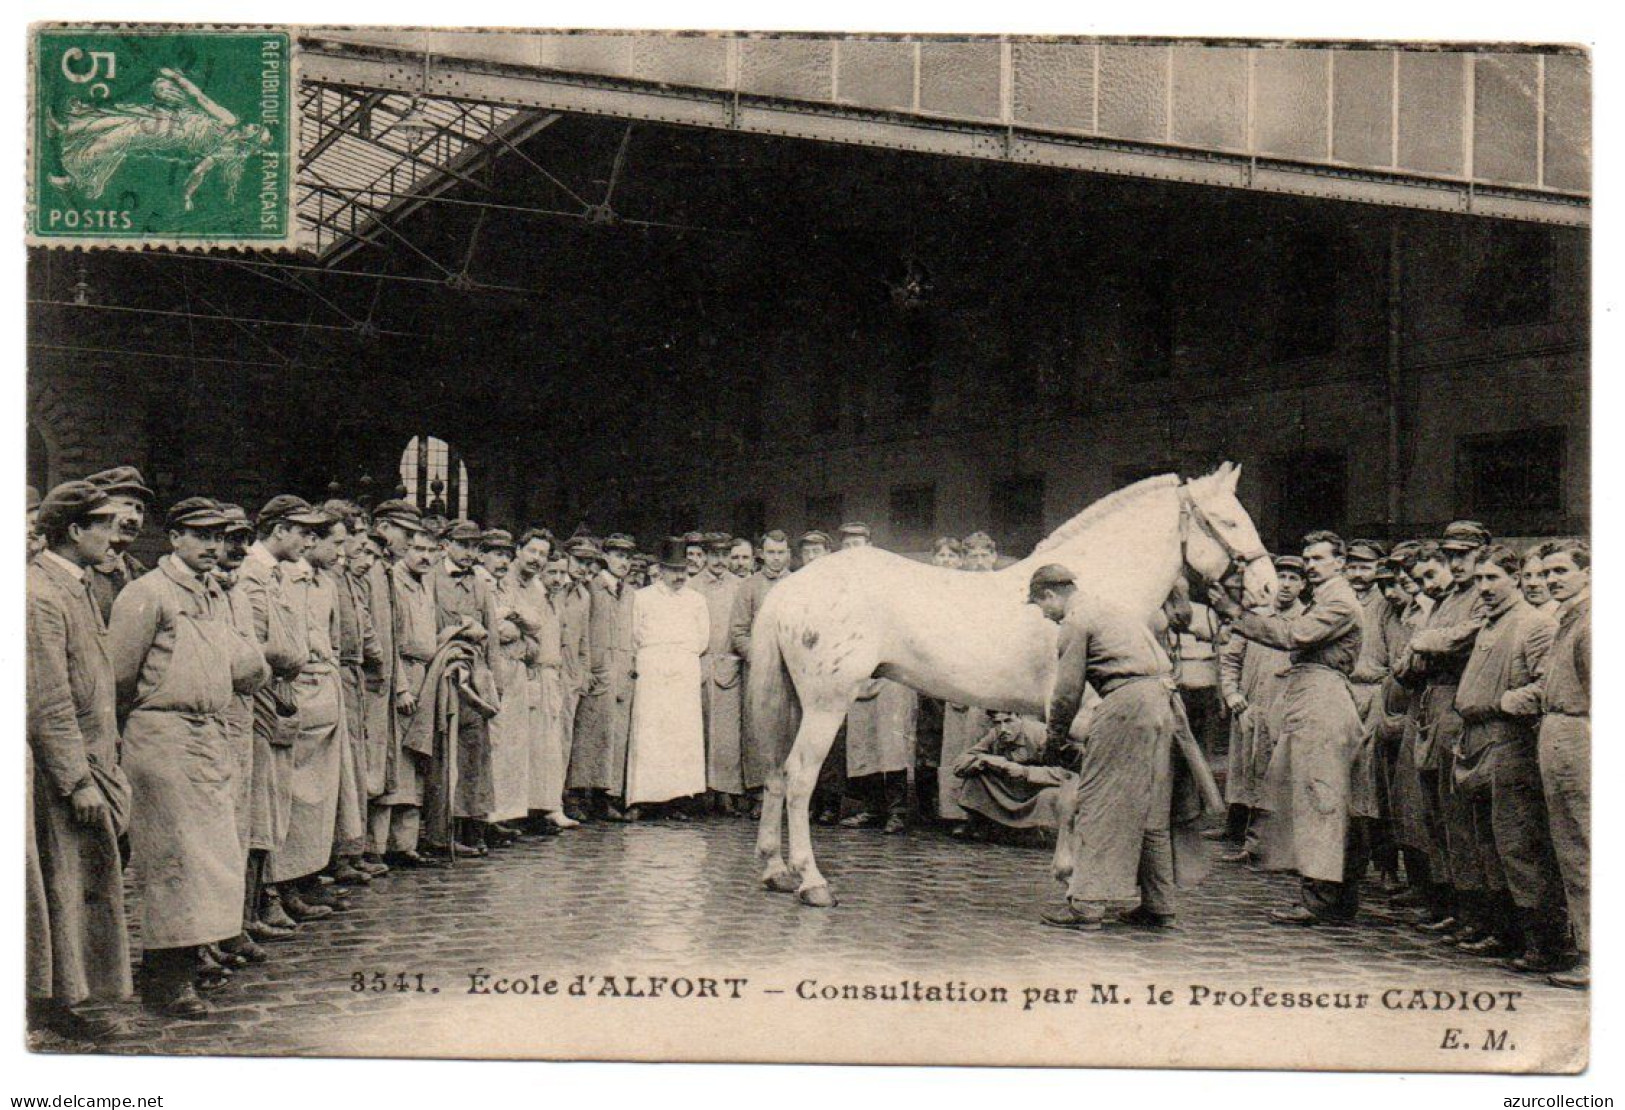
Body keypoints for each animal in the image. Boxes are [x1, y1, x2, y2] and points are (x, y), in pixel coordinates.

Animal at [744, 461, 1274, 903]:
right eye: (1228, 522)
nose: (1268, 588)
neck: (1085, 590)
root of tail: (791, 586)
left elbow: (1069, 792)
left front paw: (1066, 871)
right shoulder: (1081, 715)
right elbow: (1075, 795)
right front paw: (1072, 877)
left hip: (795, 701)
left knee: (775, 773)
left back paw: (775, 871)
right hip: (826, 704)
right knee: (798, 777)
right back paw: (811, 881)